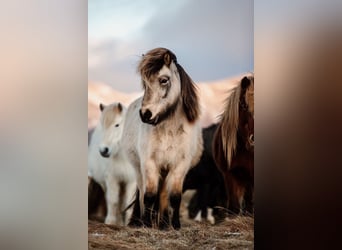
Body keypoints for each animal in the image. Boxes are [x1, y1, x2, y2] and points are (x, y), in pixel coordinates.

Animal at [122, 47, 203, 229]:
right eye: (145, 83)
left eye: (164, 80)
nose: (145, 115)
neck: (170, 129)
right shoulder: (149, 163)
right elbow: (149, 195)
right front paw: (146, 223)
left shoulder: (180, 165)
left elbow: (175, 196)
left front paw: (175, 225)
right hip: (139, 168)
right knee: (141, 193)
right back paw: (139, 221)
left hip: (166, 171)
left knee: (164, 195)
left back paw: (164, 223)